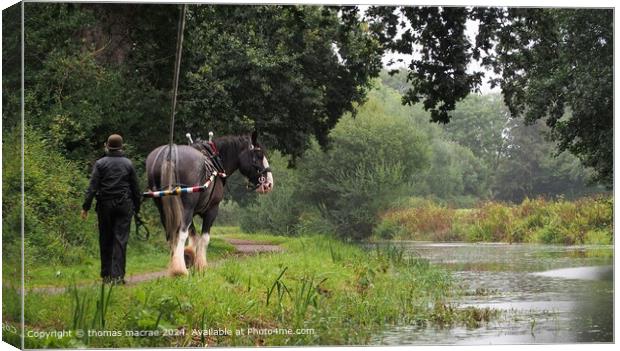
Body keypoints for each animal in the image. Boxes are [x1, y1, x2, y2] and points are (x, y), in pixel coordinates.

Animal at [145, 131, 274, 276]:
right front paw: (201, 265)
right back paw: (180, 270)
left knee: (171, 234)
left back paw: (175, 265)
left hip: (163, 207)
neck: (215, 162)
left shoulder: (192, 211)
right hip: (186, 207)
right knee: (181, 233)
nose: (269, 183)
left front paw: (189, 255)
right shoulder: (212, 209)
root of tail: (170, 154)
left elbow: (194, 235)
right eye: (259, 155)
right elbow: (204, 238)